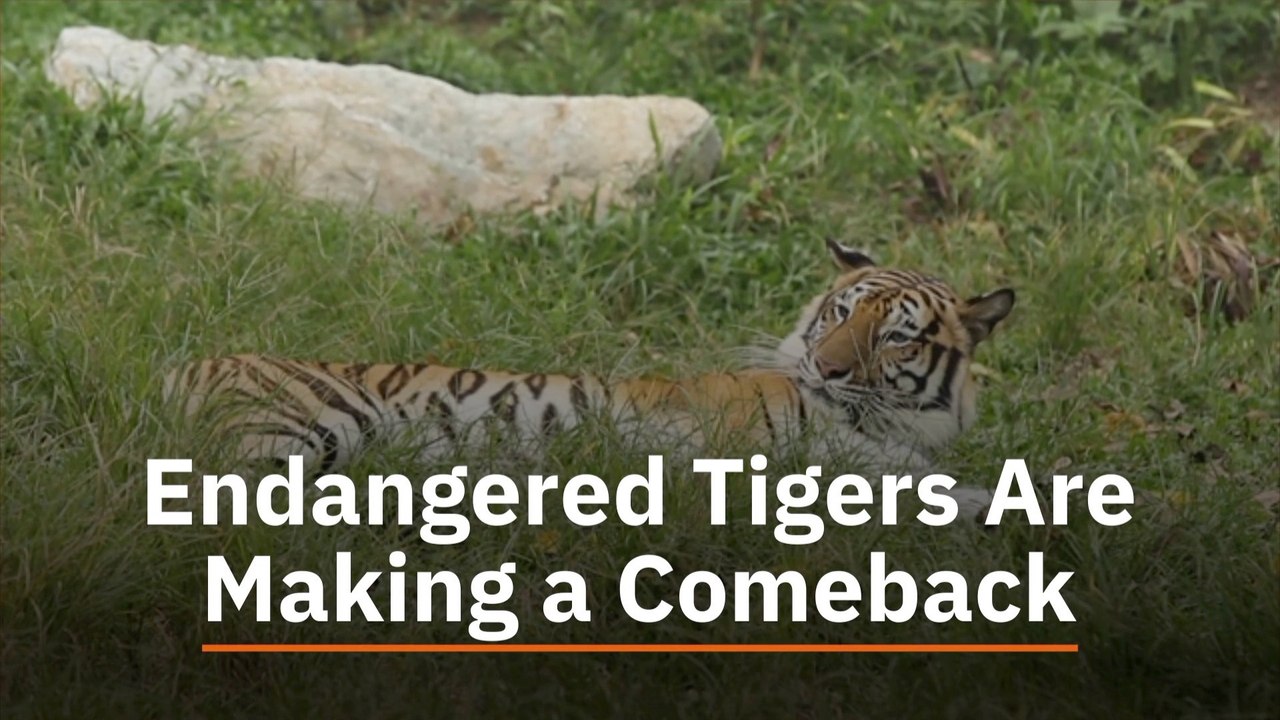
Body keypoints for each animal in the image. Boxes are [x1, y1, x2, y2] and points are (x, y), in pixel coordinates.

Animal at [163, 239, 1015, 515]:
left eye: (895, 338)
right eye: (839, 313)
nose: (824, 365)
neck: (888, 421)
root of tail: (182, 362)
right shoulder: (778, 460)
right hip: (289, 429)